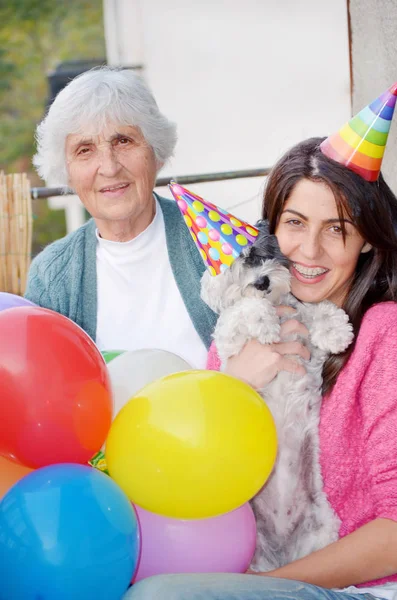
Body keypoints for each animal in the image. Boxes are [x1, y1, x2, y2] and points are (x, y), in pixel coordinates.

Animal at [201, 221, 352, 572]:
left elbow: (318, 309)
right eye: (234, 268)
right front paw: (264, 322)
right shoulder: (230, 336)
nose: (261, 282)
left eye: (258, 255)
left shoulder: (305, 330)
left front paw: (336, 331)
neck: (278, 310)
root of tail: (281, 553)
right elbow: (245, 309)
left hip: (323, 527)